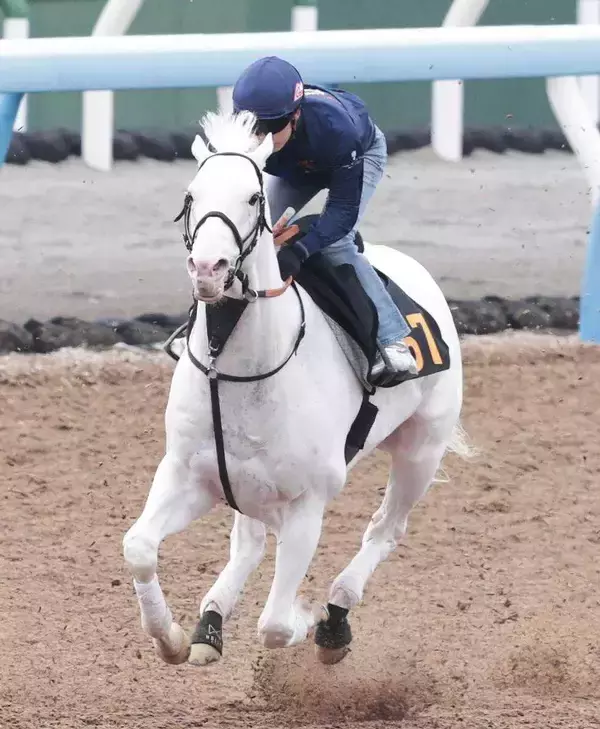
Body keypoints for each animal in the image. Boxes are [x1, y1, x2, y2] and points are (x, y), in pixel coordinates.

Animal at [122, 109, 471, 668]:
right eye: (192, 194)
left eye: (253, 197)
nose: (208, 268)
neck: (236, 369)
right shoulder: (190, 474)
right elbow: (137, 547)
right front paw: (172, 637)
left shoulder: (309, 500)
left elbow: (275, 626)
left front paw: (311, 622)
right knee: (249, 543)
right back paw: (210, 621)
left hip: (423, 448)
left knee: (385, 528)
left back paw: (336, 614)